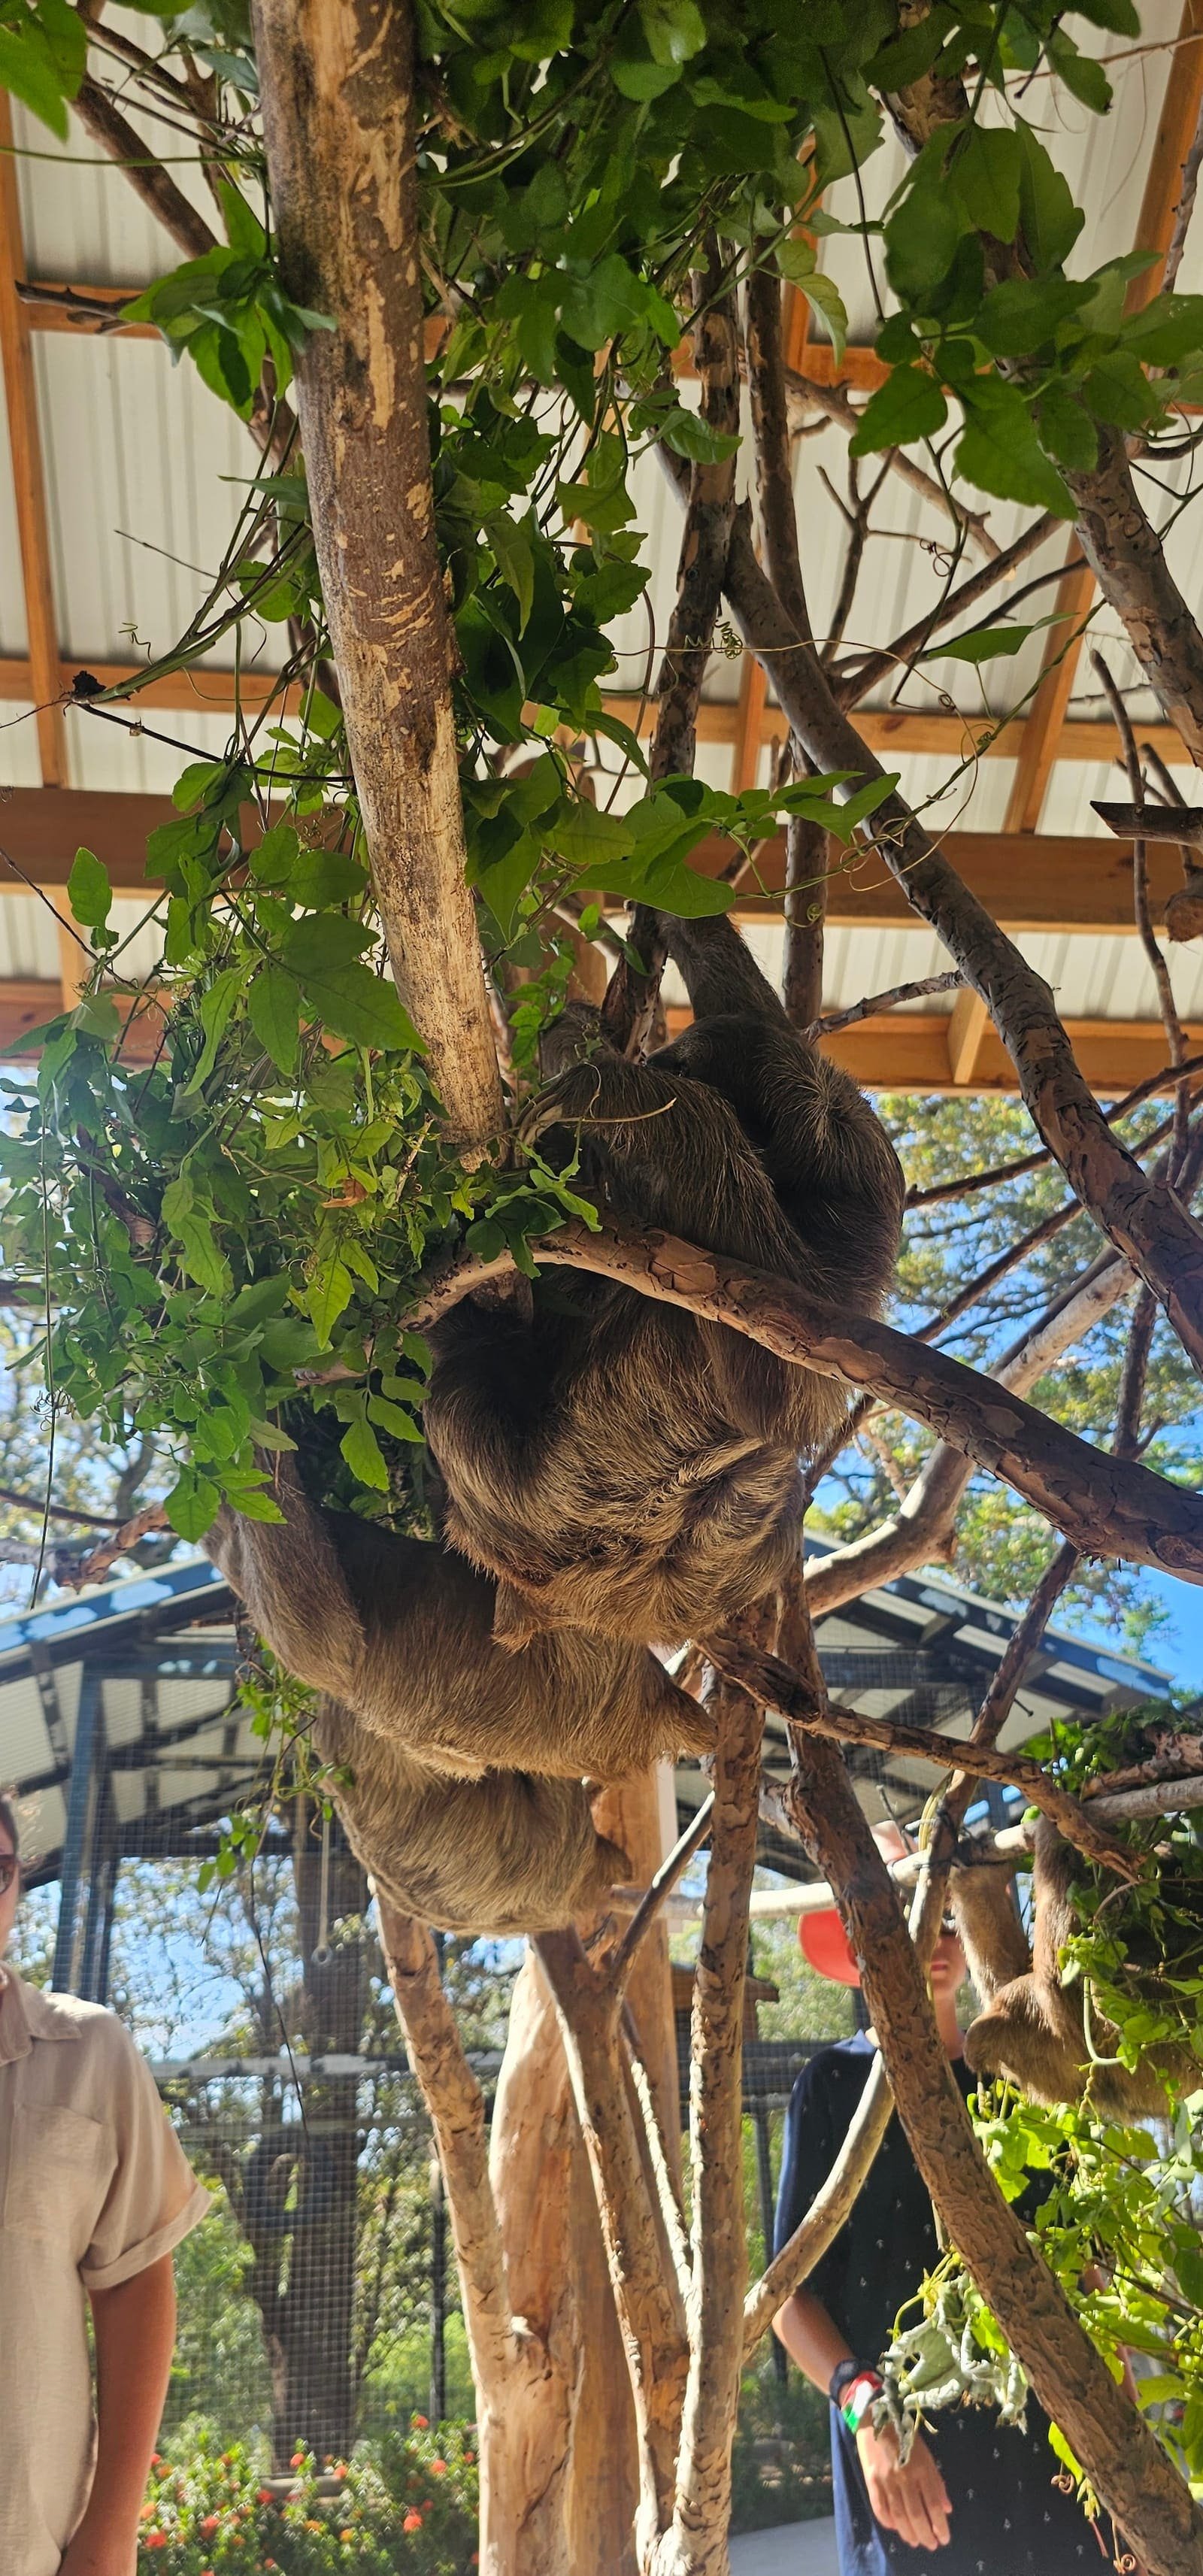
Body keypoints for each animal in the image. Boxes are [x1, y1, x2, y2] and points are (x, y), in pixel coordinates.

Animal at [423, 912, 905, 1650]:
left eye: (677, 1060)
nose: (660, 1059)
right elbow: (747, 1005)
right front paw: (671, 914)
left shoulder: (845, 1252)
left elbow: (790, 1383)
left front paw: (608, 1087)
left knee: (455, 1398)